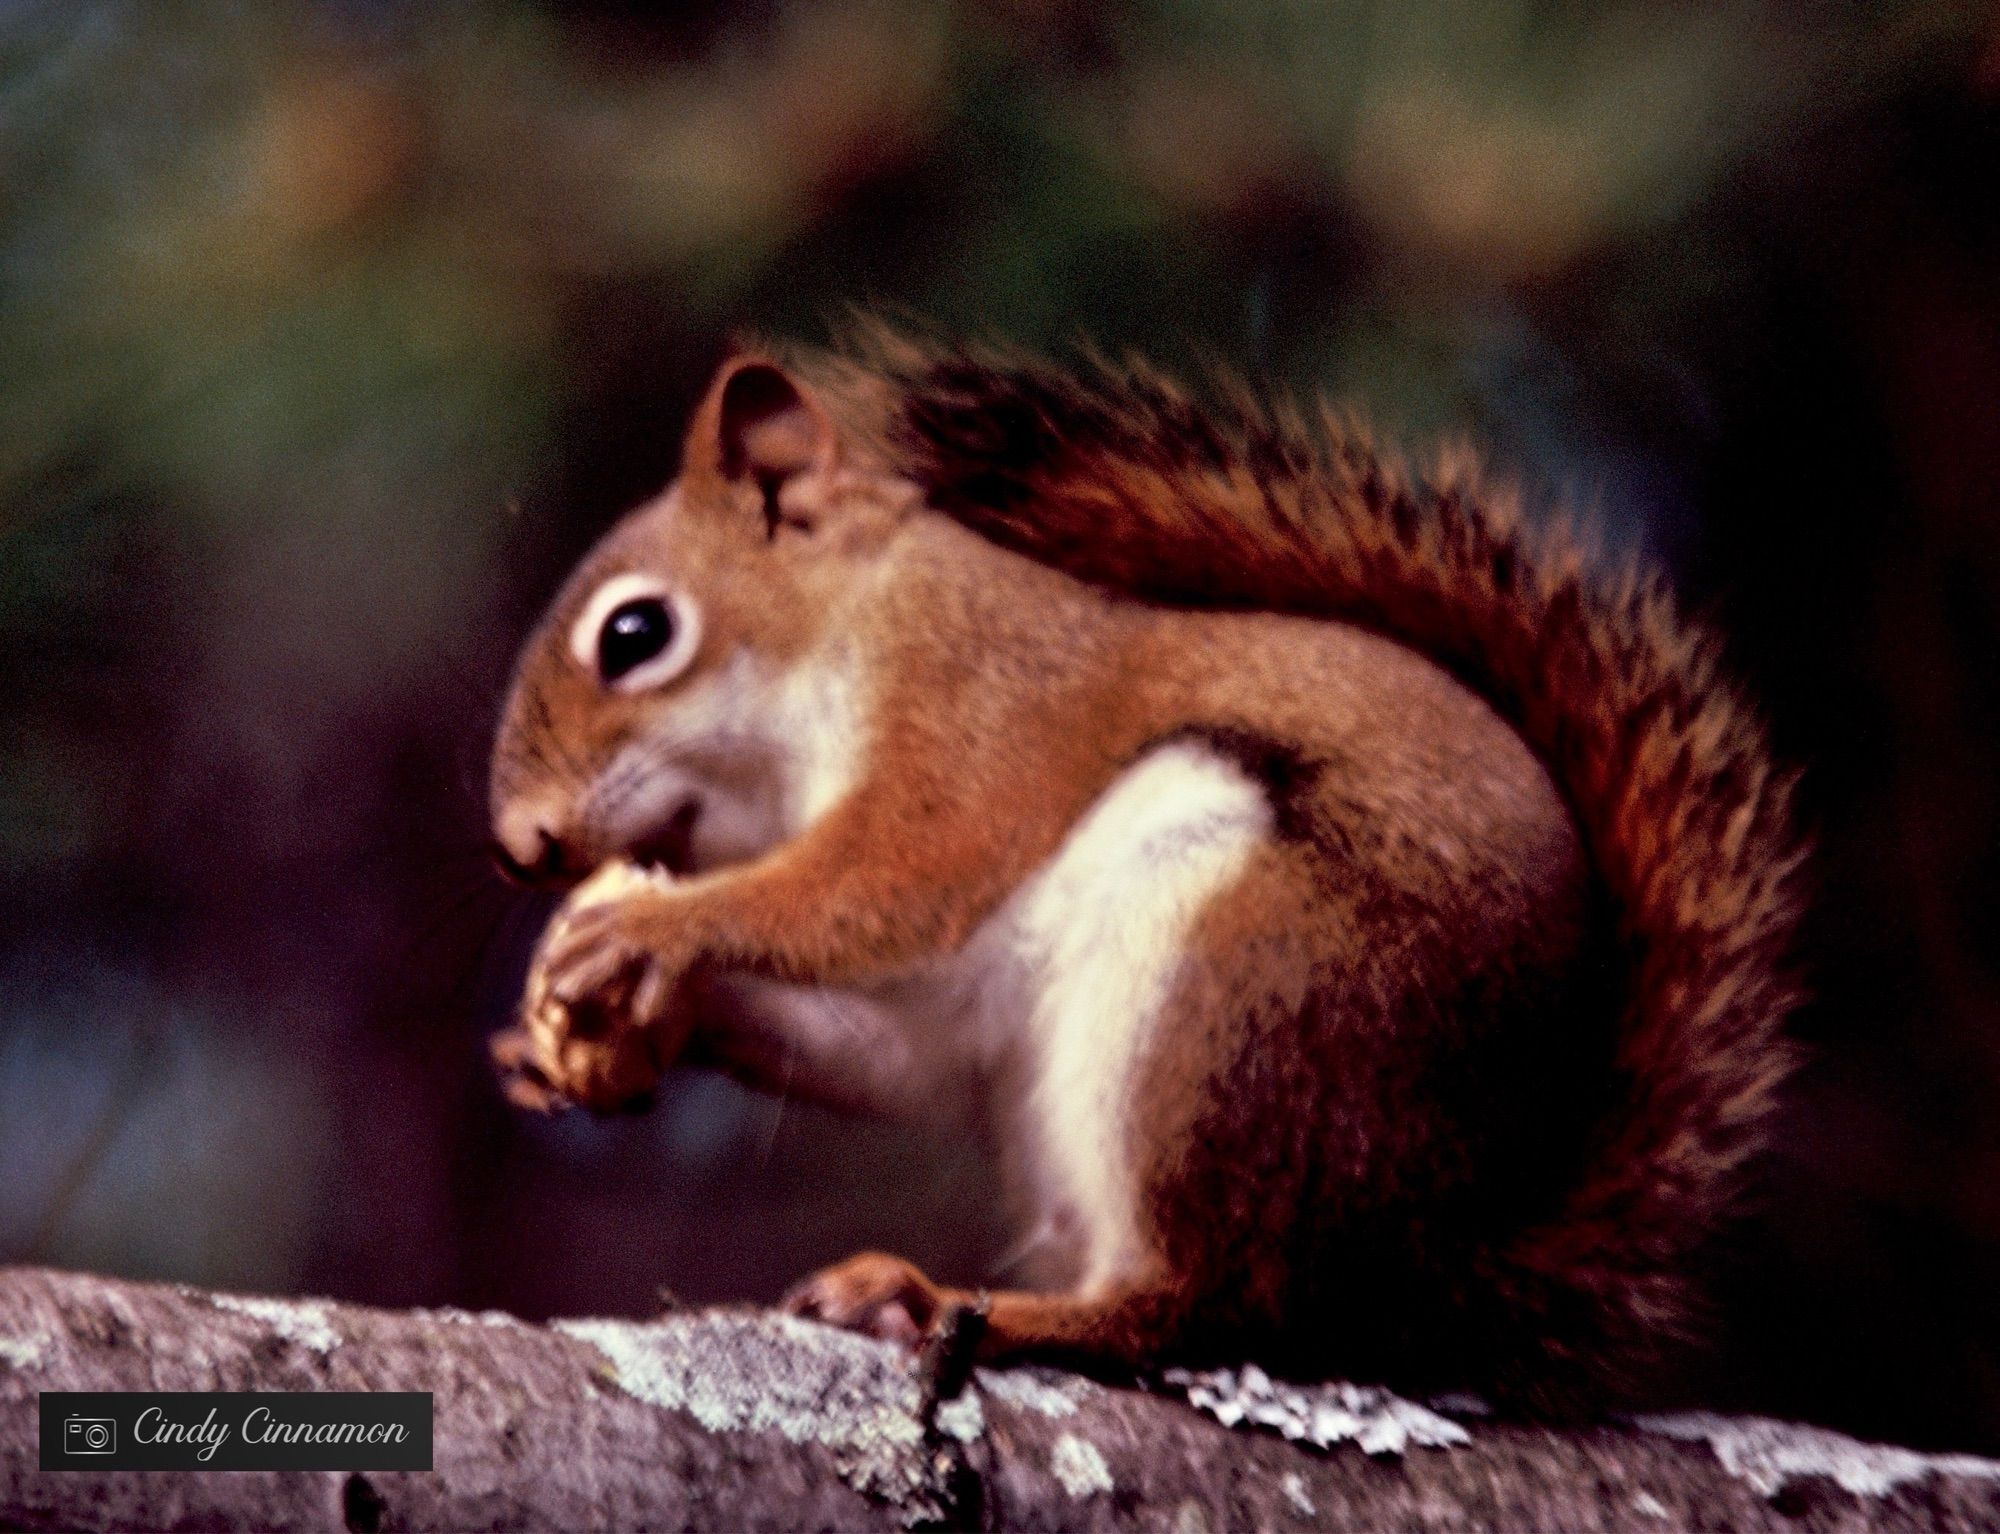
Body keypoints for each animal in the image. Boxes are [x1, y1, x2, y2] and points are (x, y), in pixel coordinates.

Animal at [488, 324, 1816, 1408]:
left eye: (635, 633)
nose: (520, 847)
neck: (853, 623)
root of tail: (1434, 1264)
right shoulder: (943, 1011)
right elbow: (894, 1050)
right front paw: (594, 1038)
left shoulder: (977, 716)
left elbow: (893, 872)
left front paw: (644, 936)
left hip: (1243, 988)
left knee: (1202, 1305)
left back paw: (952, 1303)